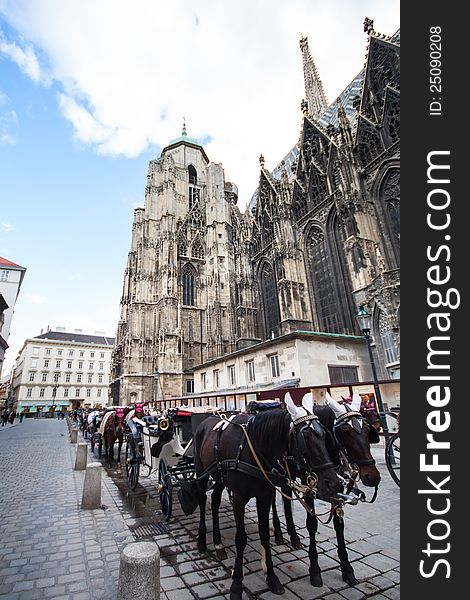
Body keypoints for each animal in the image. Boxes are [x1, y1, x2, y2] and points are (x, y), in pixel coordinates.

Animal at [195, 394, 342, 600]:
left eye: (324, 435)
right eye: (305, 437)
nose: (334, 483)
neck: (252, 448)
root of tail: (206, 420)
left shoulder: (264, 496)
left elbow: (264, 534)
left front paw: (272, 578)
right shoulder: (239, 498)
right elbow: (241, 538)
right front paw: (236, 585)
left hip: (219, 477)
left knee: (215, 500)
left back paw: (218, 544)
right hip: (201, 472)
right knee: (202, 500)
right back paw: (202, 541)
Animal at [272, 392, 382, 588]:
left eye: (366, 430)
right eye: (345, 431)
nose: (373, 477)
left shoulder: (335, 489)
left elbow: (339, 525)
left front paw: (347, 568)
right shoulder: (308, 485)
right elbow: (311, 523)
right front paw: (315, 570)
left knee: (285, 499)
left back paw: (293, 536)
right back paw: (279, 533)